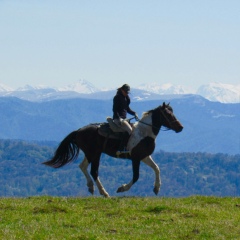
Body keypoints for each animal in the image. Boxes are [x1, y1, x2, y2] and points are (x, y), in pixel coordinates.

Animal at [43, 102, 183, 198]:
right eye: (168, 114)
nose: (180, 127)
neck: (144, 133)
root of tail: (78, 131)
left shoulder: (144, 156)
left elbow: (157, 168)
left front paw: (157, 188)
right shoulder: (135, 158)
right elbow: (136, 176)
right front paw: (122, 188)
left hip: (90, 154)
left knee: (82, 166)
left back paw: (91, 187)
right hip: (95, 154)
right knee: (94, 171)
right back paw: (104, 193)